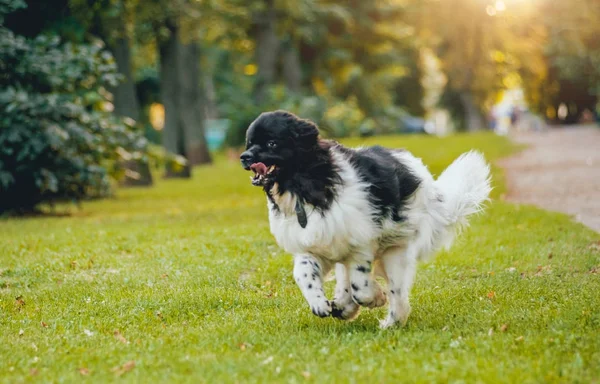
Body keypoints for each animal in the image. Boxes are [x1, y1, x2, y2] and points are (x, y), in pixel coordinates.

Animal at [237, 109, 490, 328]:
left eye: (272, 143)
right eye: (249, 143)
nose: (244, 157)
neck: (307, 185)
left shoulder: (361, 244)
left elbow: (360, 284)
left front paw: (375, 298)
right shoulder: (316, 242)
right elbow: (303, 273)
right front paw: (320, 304)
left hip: (396, 249)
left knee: (397, 292)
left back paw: (391, 323)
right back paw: (344, 307)